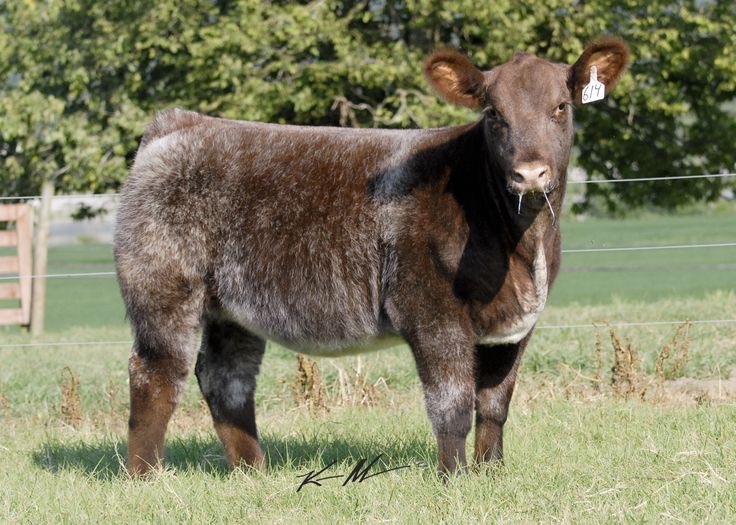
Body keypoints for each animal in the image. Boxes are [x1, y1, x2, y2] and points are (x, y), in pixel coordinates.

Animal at [114, 38, 629, 476]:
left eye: (561, 107)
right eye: (493, 113)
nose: (530, 173)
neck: (521, 249)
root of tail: (182, 123)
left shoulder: (516, 326)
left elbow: (495, 405)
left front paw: (493, 473)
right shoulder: (432, 313)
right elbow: (452, 406)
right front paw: (454, 478)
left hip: (233, 308)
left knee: (225, 378)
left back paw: (253, 472)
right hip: (163, 285)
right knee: (156, 373)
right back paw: (147, 477)